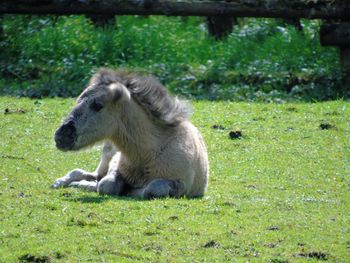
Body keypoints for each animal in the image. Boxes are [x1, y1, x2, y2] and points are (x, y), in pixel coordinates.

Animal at [52, 69, 208, 199]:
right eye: (78, 100)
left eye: (97, 105)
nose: (61, 136)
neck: (147, 154)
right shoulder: (115, 166)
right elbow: (106, 185)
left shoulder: (181, 184)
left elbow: (153, 189)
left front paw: (133, 191)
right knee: (84, 173)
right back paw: (62, 182)